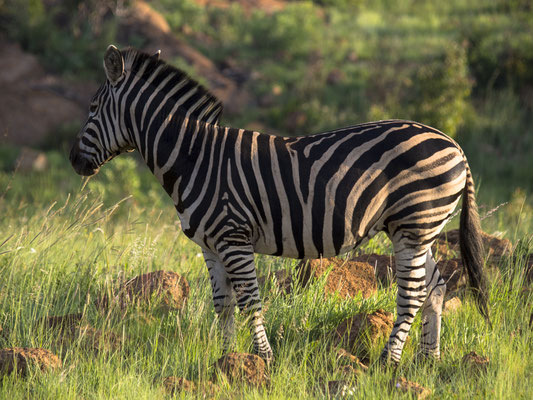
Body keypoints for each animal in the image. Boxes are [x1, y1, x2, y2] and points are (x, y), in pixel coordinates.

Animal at [68, 45, 488, 364]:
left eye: (92, 108)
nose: (73, 161)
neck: (194, 158)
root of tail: (454, 144)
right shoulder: (210, 246)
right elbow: (223, 304)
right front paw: (226, 359)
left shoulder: (234, 238)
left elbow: (250, 301)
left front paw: (263, 359)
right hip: (418, 230)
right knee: (435, 286)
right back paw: (427, 359)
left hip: (413, 225)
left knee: (412, 293)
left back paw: (388, 361)